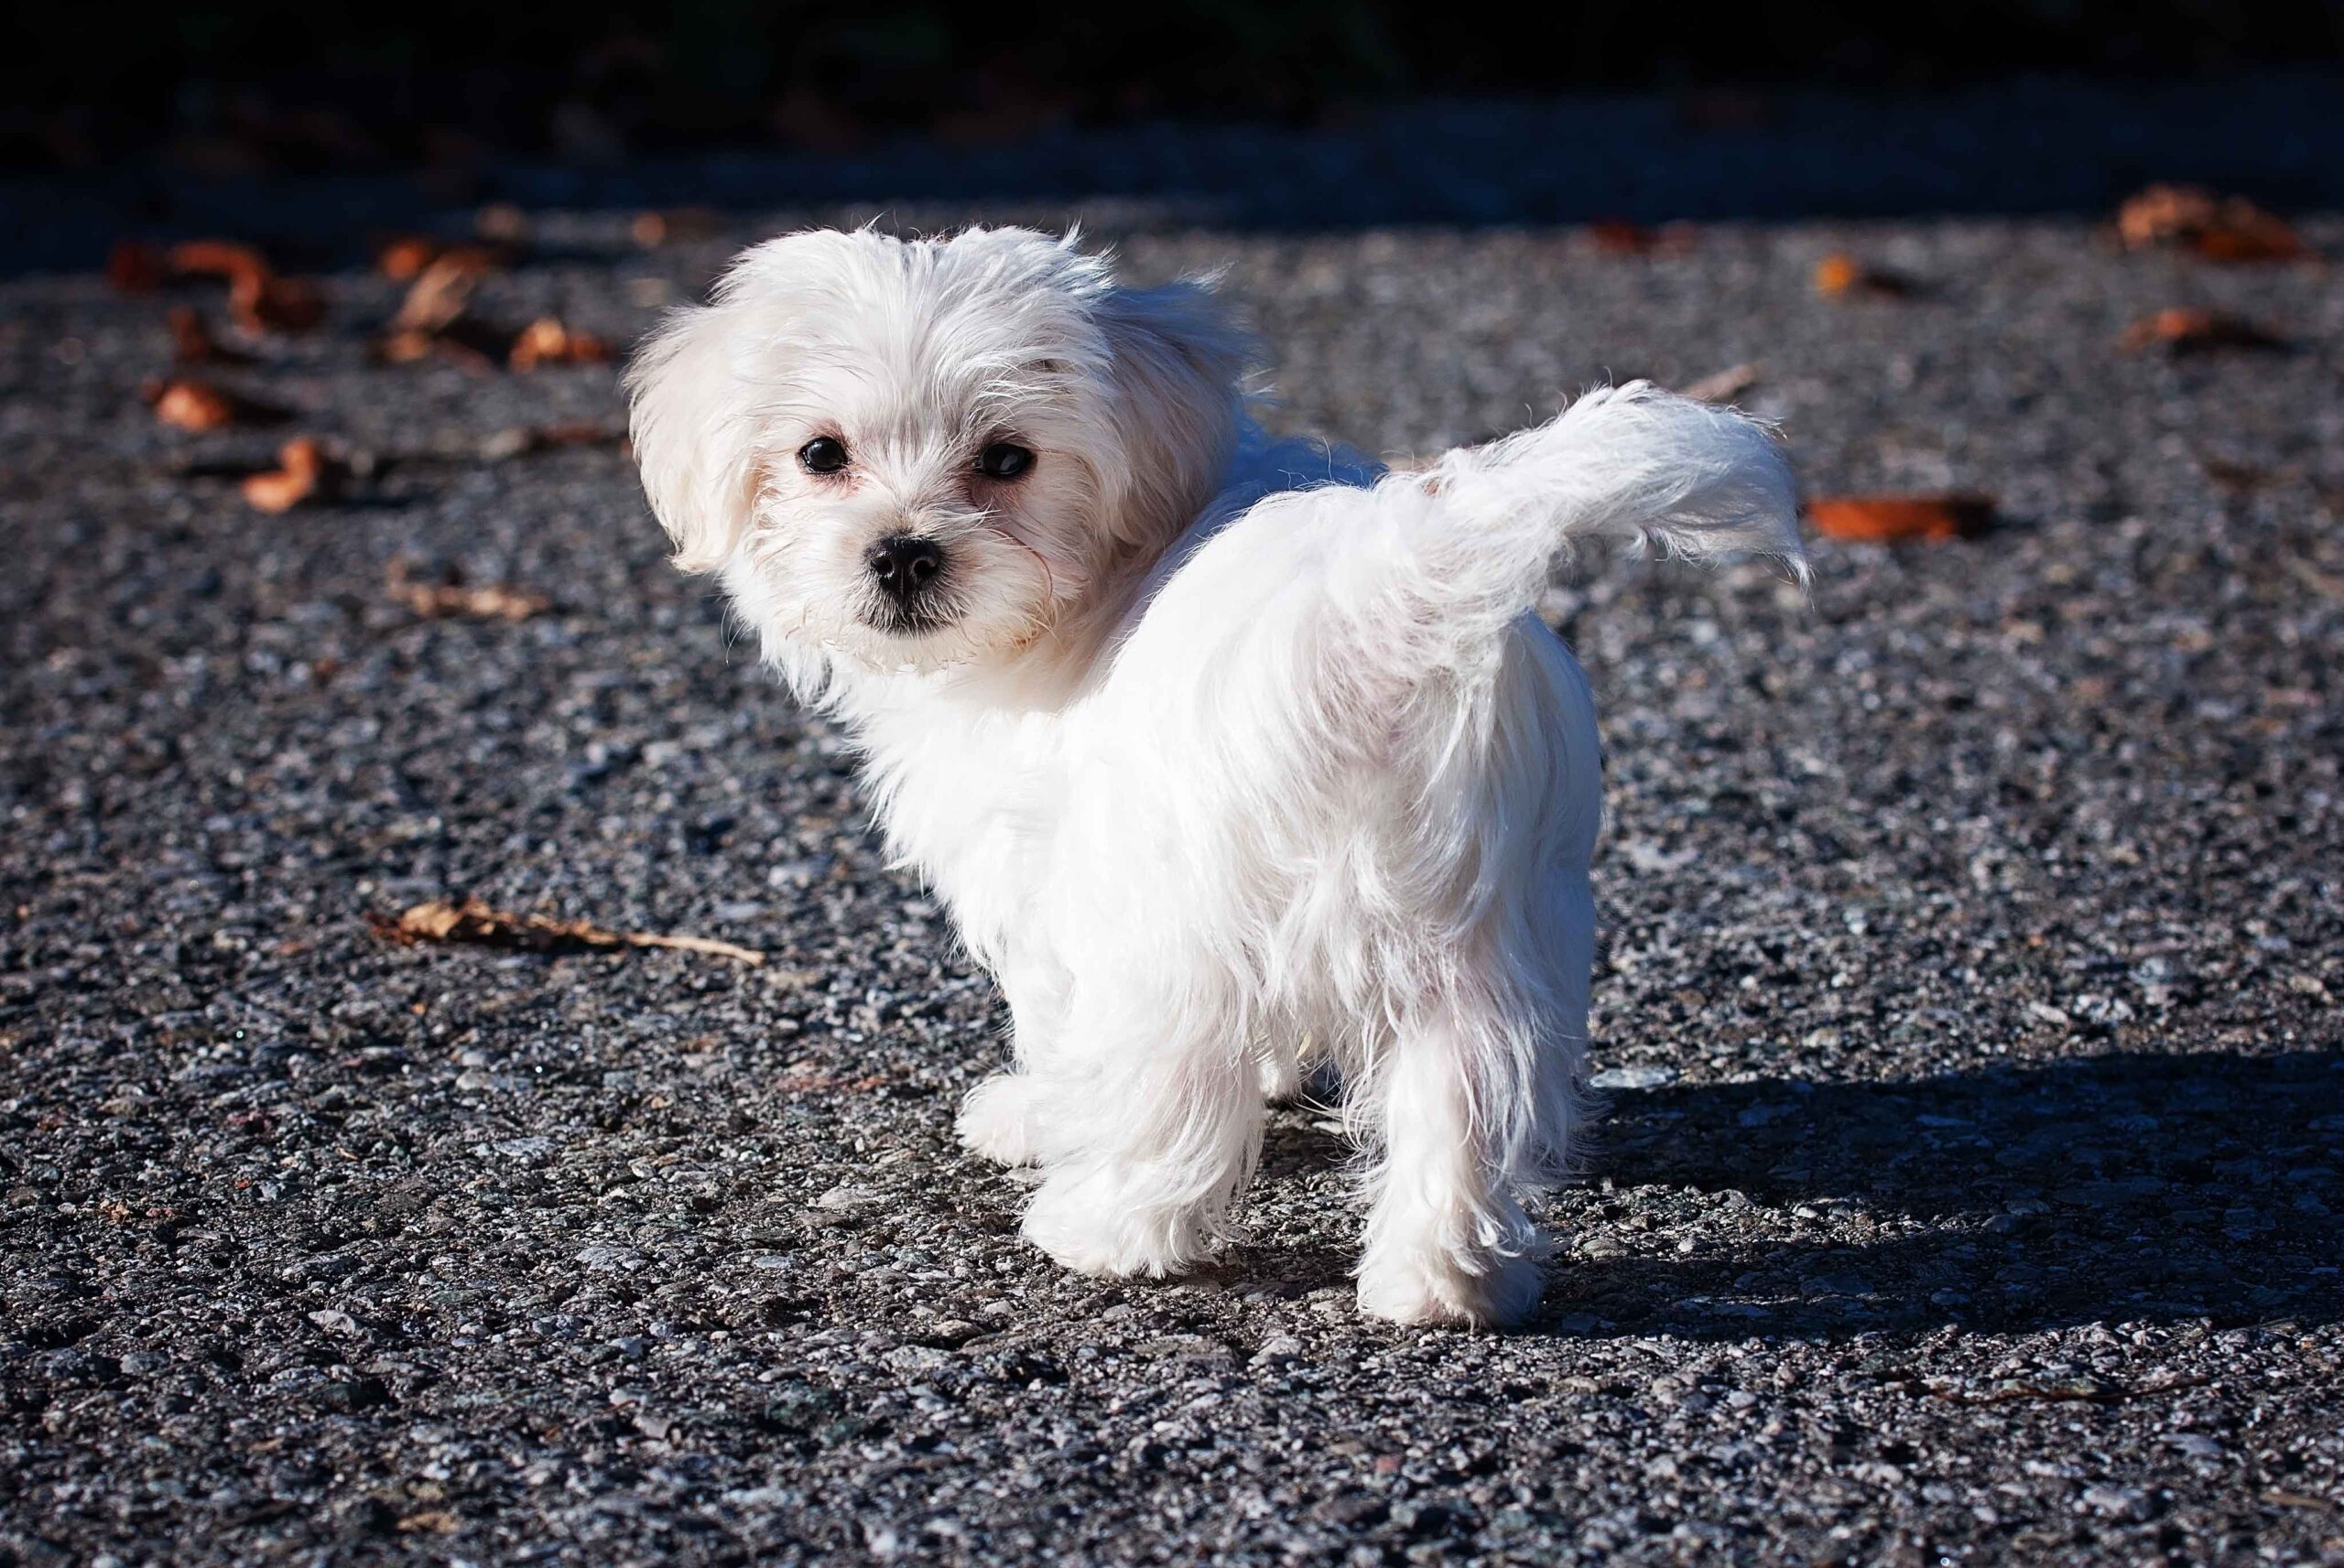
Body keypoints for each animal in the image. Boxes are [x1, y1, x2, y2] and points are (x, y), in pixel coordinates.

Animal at [623, 222, 1790, 1322]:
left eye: (1007, 460)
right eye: (821, 453)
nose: (903, 553)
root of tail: (1380, 603)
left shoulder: (1045, 873)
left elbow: (1059, 1021)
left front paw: (1035, 1115)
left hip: (1174, 910)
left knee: (1169, 1082)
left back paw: (1103, 1229)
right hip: (1485, 927)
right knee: (1466, 1094)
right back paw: (1442, 1285)